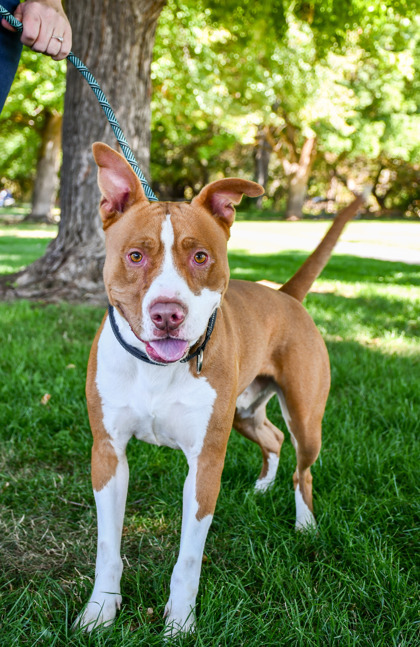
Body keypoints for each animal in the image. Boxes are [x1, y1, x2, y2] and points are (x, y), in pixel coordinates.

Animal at [75, 144, 368, 636]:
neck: (156, 369)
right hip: (243, 413)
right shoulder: (108, 454)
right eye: (135, 256)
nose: (167, 313)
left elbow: (189, 559)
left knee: (303, 468)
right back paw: (263, 488)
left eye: (199, 257)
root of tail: (285, 294)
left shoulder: (206, 462)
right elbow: (107, 548)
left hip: (304, 417)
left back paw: (305, 524)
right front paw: (100, 611)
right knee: (272, 437)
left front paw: (179, 623)